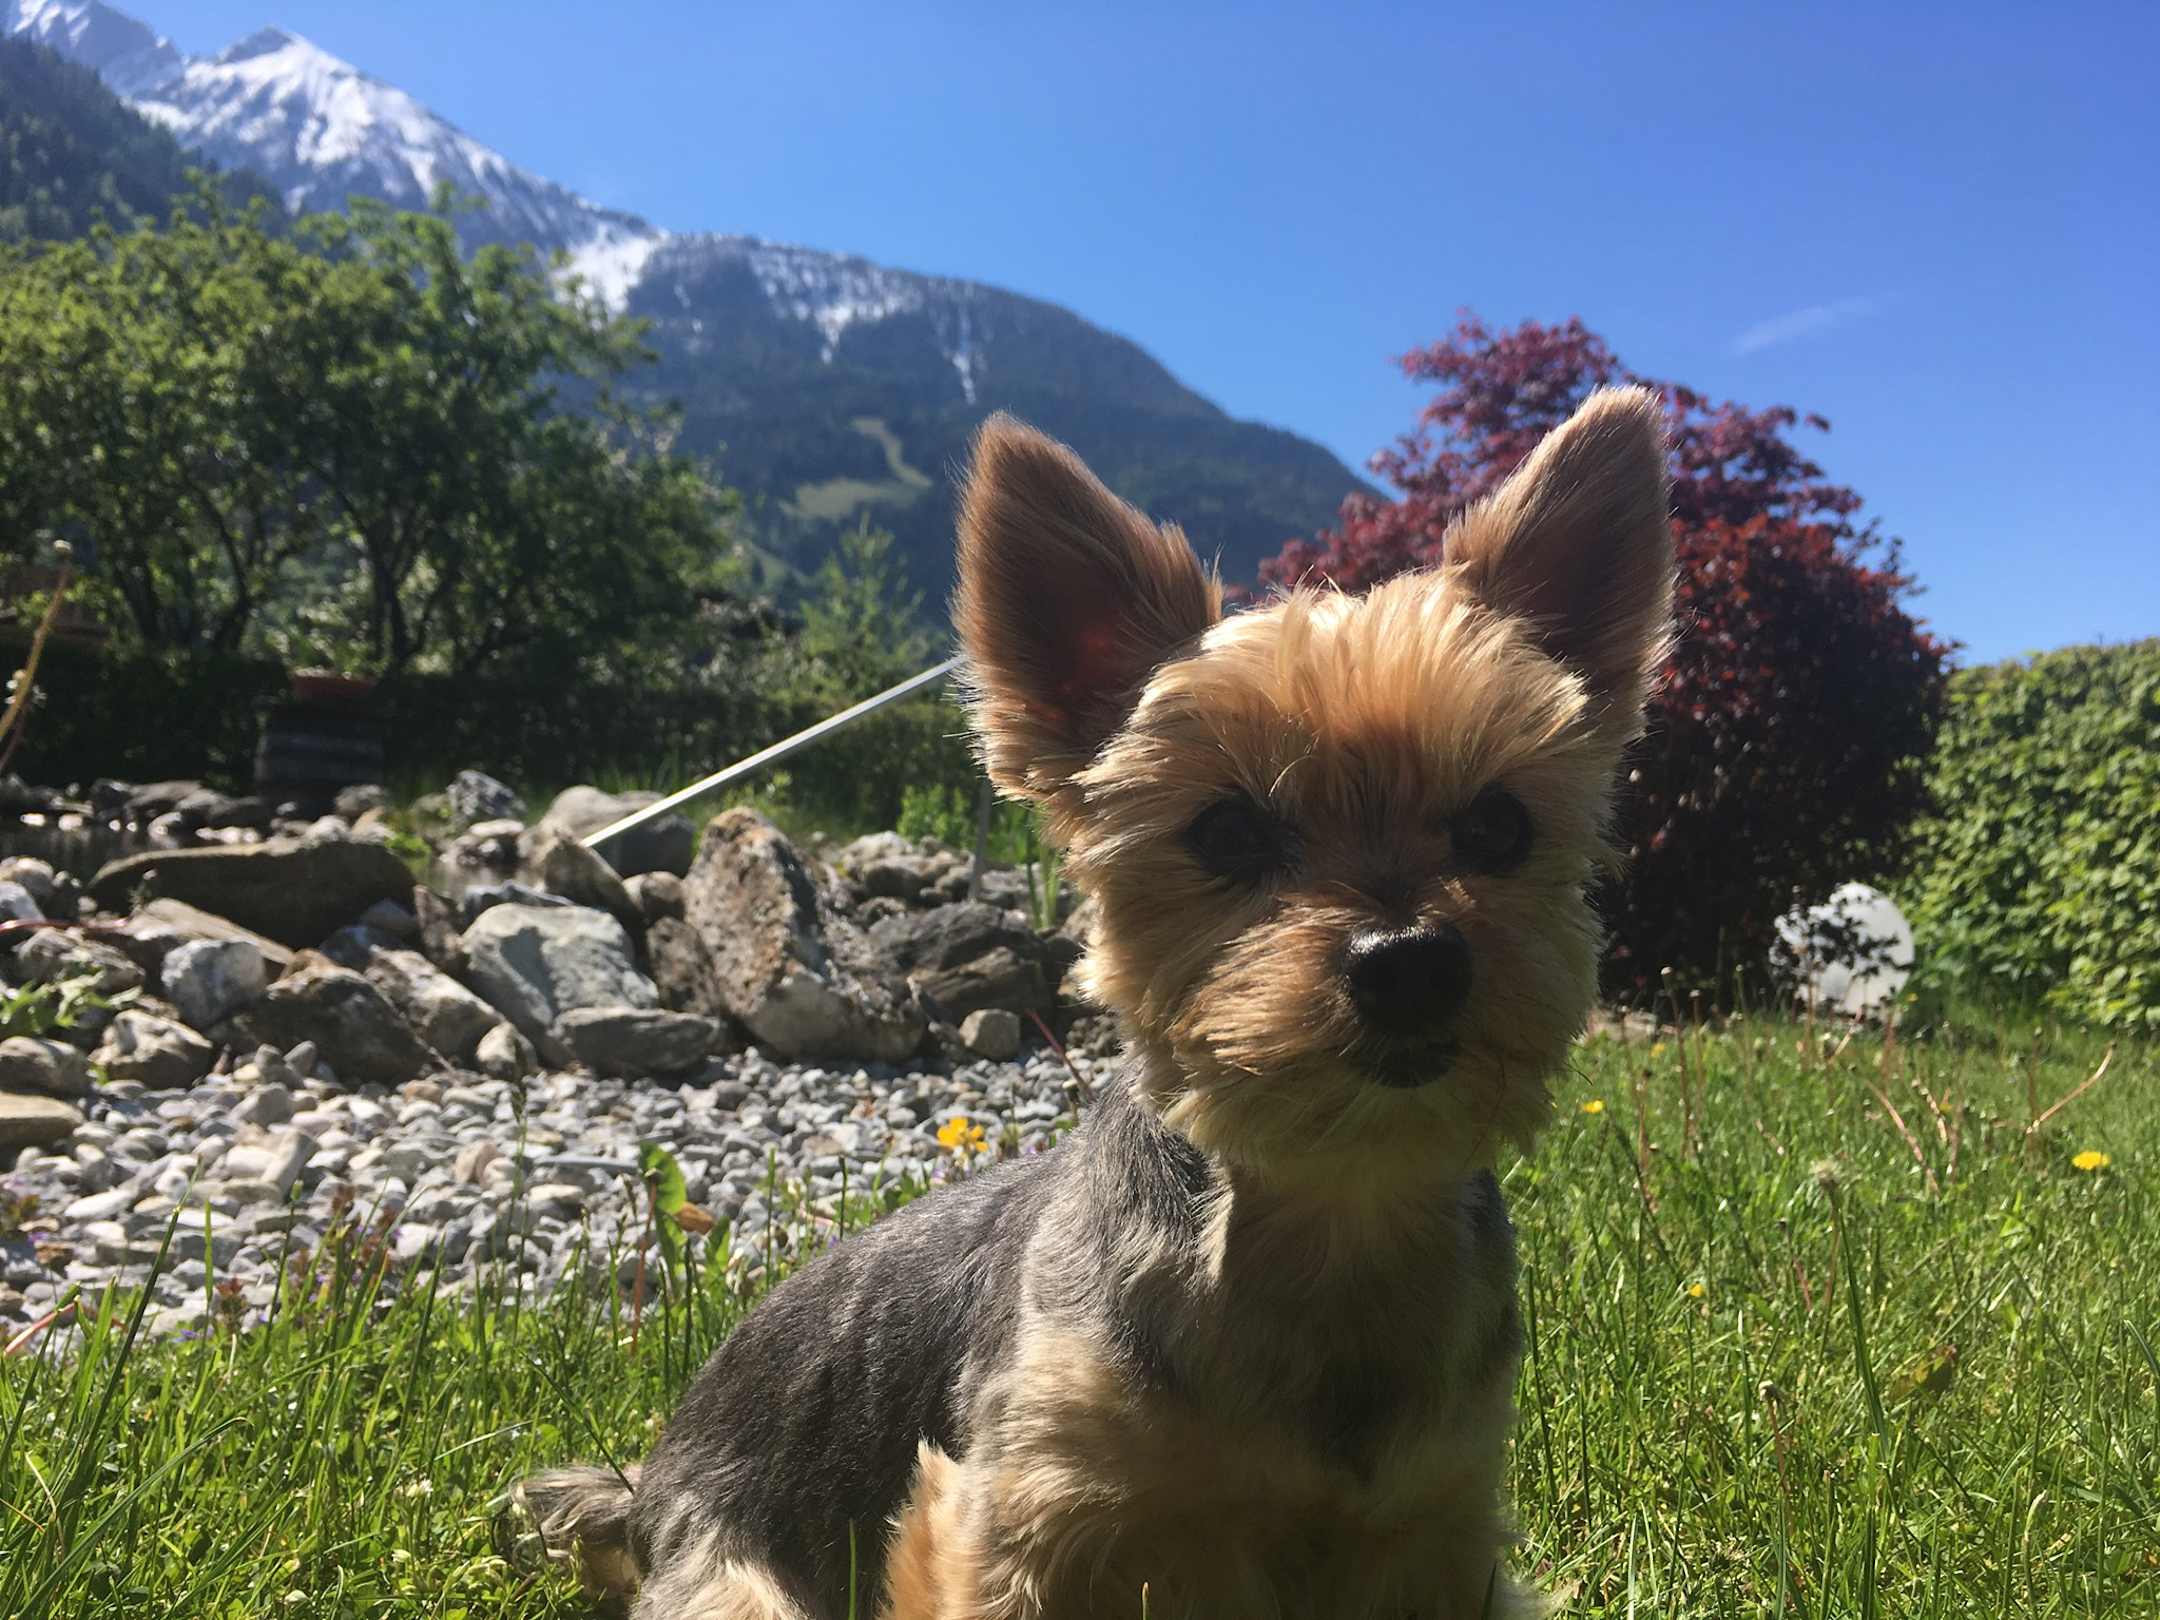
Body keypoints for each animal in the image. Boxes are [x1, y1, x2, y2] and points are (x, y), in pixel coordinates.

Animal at [515, 385, 1675, 1619]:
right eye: (1227, 832)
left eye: (1499, 825)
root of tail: (648, 1482)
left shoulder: (1436, 1529)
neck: (1331, 1208)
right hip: (734, 1578)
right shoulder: (1020, 1513)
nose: (1408, 958)